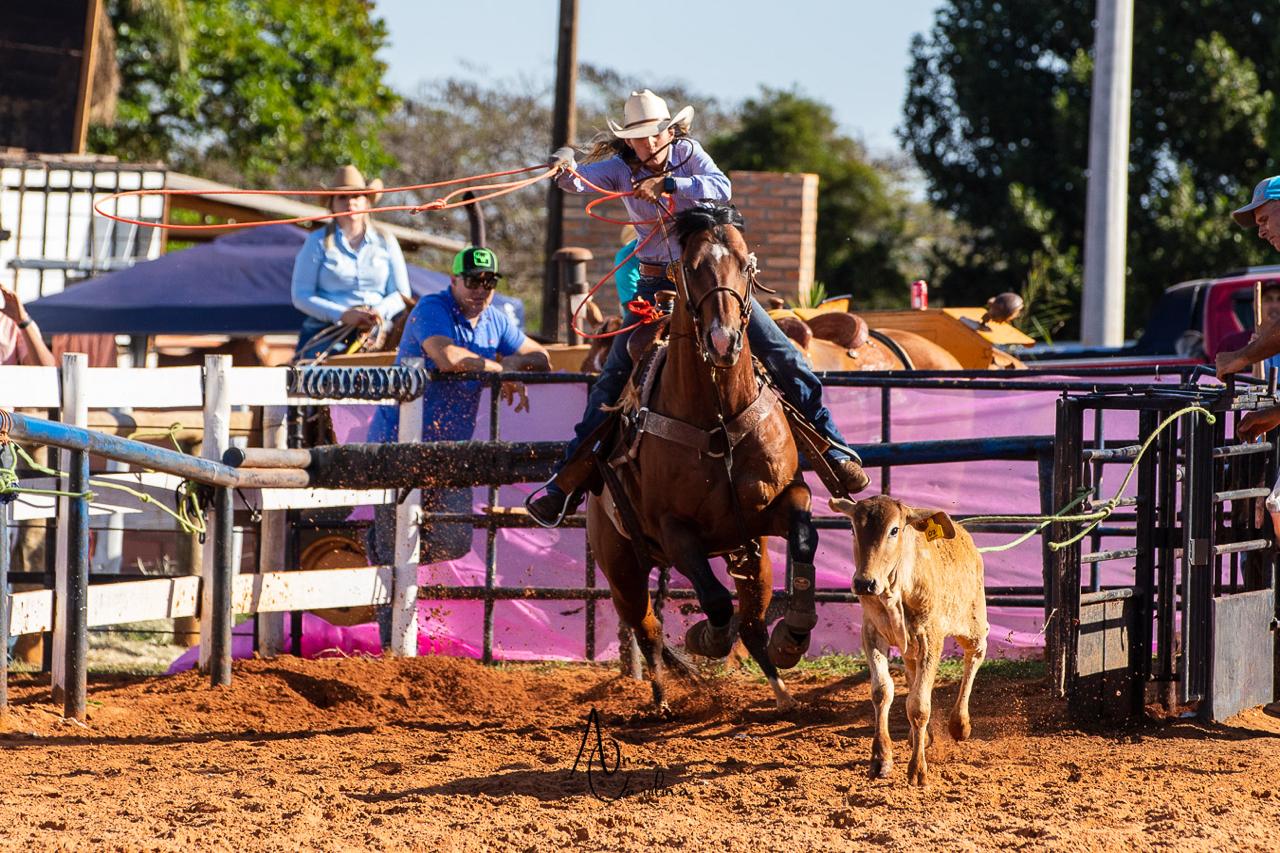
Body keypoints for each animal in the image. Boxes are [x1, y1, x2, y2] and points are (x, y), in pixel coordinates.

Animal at [588, 206, 819, 712]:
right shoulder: (675, 531)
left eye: (746, 266)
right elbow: (713, 600)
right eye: (691, 268)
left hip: (750, 557)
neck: (717, 415)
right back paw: (659, 699)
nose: (721, 340)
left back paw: (782, 692)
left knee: (752, 624)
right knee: (649, 629)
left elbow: (803, 538)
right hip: (622, 569)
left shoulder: (778, 503)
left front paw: (794, 633)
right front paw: (705, 638)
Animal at [829, 499, 988, 783]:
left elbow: (919, 705)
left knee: (975, 655)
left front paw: (917, 769)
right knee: (912, 674)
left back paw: (959, 723)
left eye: (894, 530)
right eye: (853, 528)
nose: (864, 583)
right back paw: (920, 737)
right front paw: (881, 759)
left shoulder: (930, 638)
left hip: (973, 622)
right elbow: (883, 691)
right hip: (910, 648)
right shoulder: (872, 633)